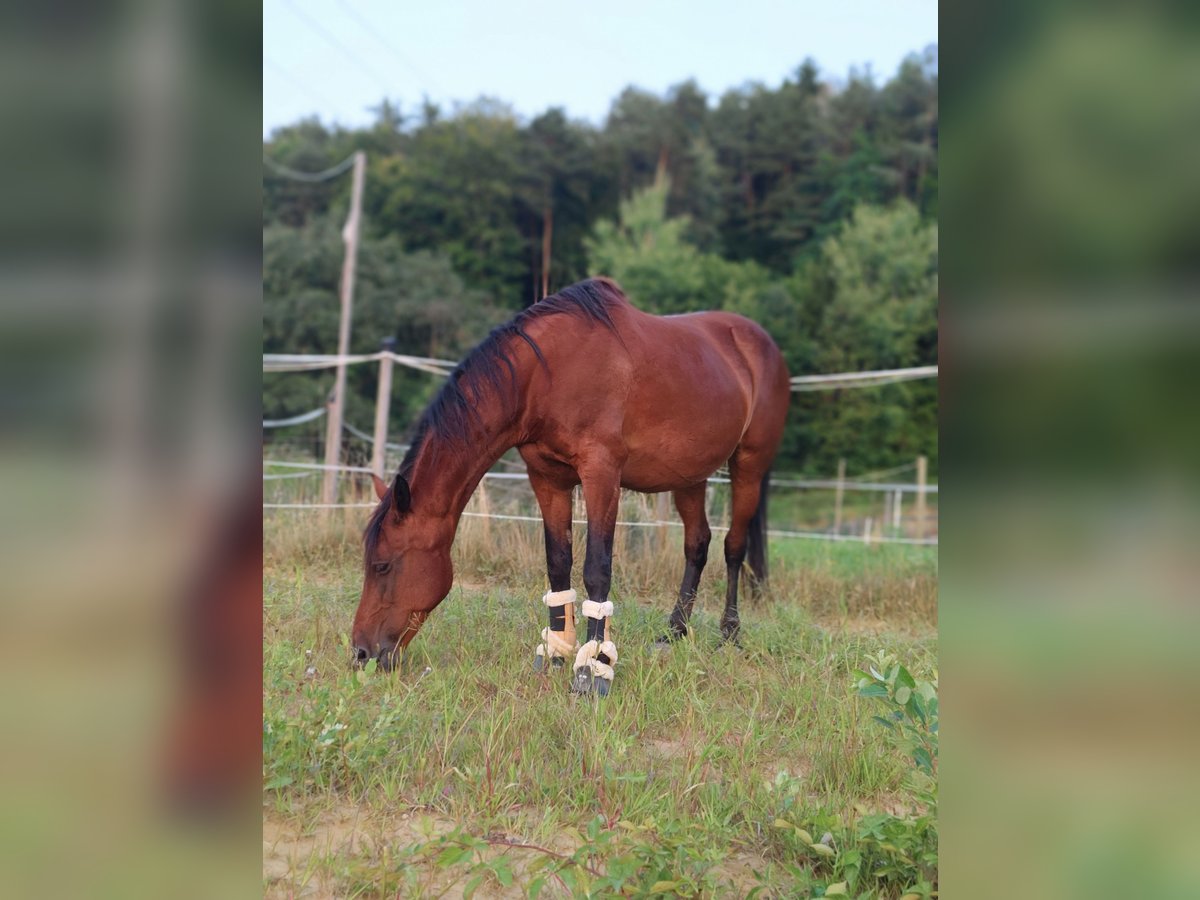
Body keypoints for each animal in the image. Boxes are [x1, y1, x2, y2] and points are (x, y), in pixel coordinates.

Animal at [352, 277, 790, 695]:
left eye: (382, 564)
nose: (361, 653)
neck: (544, 375)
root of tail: (760, 343)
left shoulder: (601, 474)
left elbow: (597, 568)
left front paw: (594, 668)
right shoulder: (547, 477)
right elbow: (558, 563)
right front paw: (556, 652)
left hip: (748, 465)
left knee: (734, 547)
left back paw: (729, 634)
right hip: (690, 476)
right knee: (697, 545)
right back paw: (673, 633)